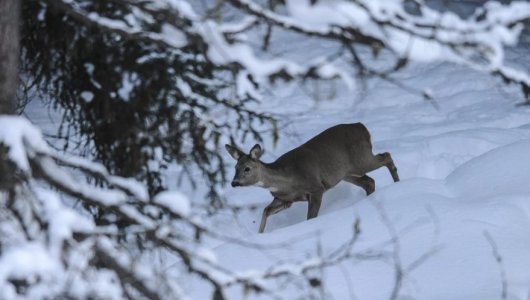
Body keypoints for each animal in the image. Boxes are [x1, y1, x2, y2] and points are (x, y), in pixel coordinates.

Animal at [225, 123, 398, 233]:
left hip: (361, 160)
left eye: (247, 168)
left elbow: (310, 218)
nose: (234, 183)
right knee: (369, 182)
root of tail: (362, 127)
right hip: (347, 174)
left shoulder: (316, 188)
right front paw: (259, 234)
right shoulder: (285, 199)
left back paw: (398, 184)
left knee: (386, 156)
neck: (289, 181)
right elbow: (266, 211)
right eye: (235, 168)